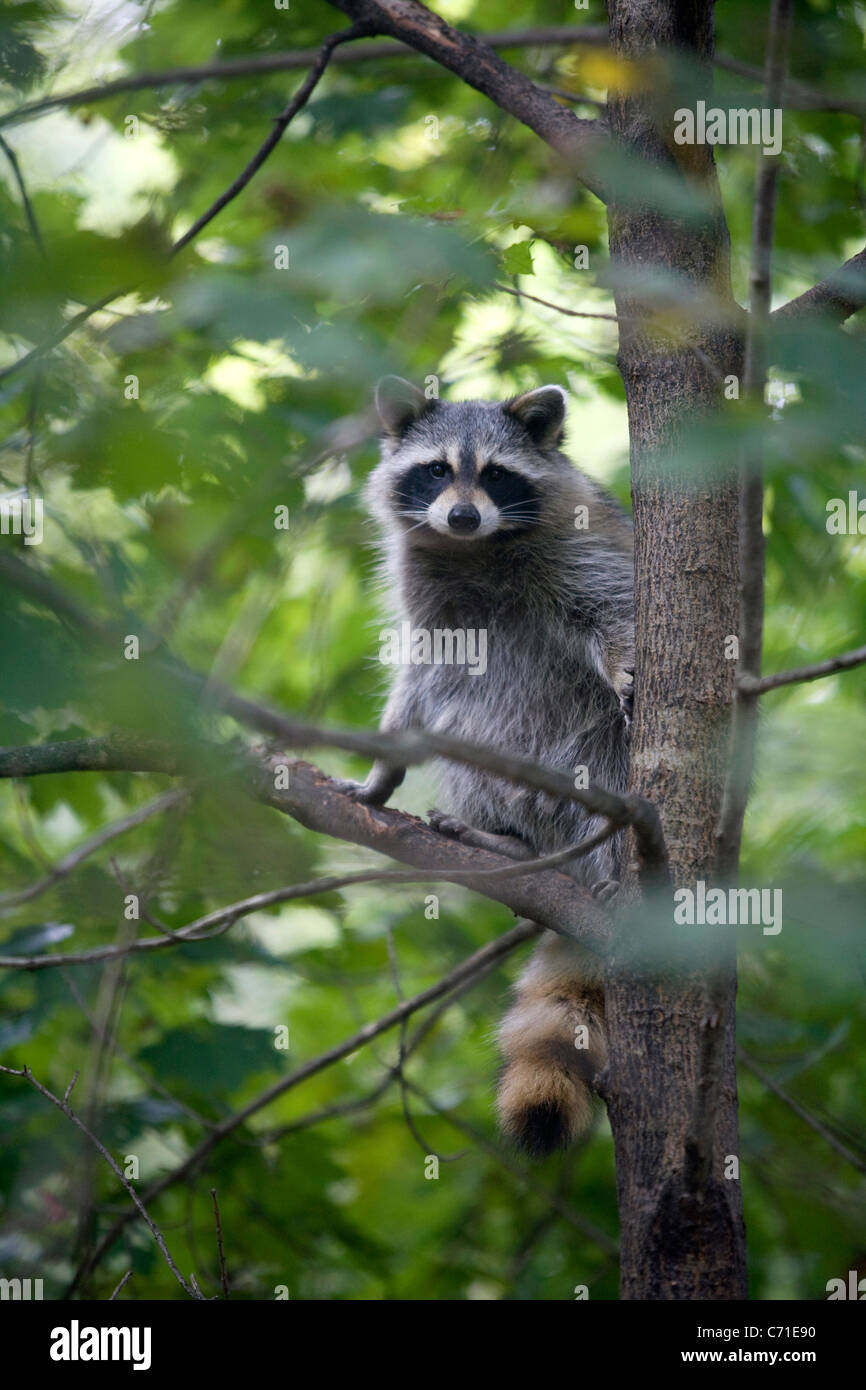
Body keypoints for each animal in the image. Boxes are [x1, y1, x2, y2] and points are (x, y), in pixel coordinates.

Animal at [341, 375, 633, 1156]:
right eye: (438, 470)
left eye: (497, 474)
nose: (464, 515)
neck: (475, 548)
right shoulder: (426, 585)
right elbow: (420, 680)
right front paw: (383, 771)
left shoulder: (581, 546)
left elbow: (618, 609)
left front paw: (622, 662)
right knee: (471, 726)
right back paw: (509, 837)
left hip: (600, 764)